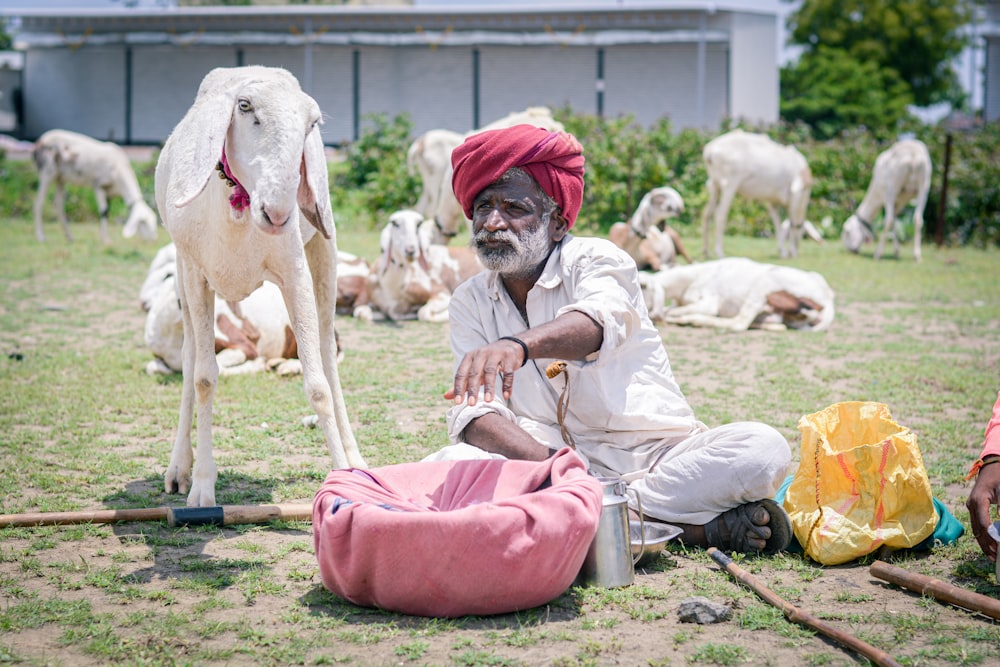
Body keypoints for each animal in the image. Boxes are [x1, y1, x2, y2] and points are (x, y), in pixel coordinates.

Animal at [153, 66, 364, 506]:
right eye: (245, 106)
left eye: (313, 123)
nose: (279, 211)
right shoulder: (196, 274)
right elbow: (203, 377)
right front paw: (201, 488)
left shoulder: (294, 271)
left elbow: (318, 384)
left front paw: (343, 476)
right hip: (183, 273)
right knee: (189, 357)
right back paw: (179, 467)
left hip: (324, 248)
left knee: (327, 352)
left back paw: (356, 458)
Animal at [640, 260, 836, 334]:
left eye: (643, 285)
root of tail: (827, 298)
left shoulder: (709, 302)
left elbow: (675, 312)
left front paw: (671, 318)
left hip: (763, 286)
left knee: (739, 323)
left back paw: (694, 320)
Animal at [704, 129, 812, 260]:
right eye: (803, 231)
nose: (796, 250)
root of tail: (710, 150)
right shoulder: (796, 194)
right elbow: (792, 223)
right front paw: (791, 251)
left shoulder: (772, 202)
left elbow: (778, 225)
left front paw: (783, 252)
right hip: (730, 185)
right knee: (720, 214)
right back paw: (719, 252)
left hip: (714, 185)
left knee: (707, 214)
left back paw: (706, 252)